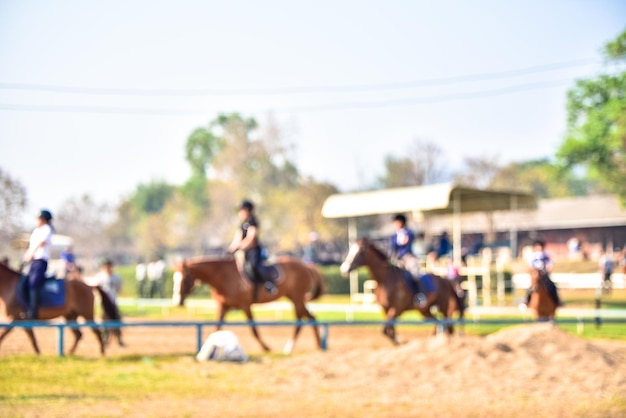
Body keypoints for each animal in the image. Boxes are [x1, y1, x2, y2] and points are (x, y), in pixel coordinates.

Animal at [172, 255, 324, 352]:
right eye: (174, 279)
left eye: (184, 279)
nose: (177, 301)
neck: (223, 276)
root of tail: (307, 265)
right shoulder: (223, 306)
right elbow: (216, 328)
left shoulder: (245, 306)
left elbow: (254, 329)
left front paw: (266, 348)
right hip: (295, 298)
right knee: (310, 317)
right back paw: (317, 344)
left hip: (297, 298)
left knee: (302, 319)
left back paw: (291, 346)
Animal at [336, 237, 464, 344]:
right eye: (350, 250)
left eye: (360, 251)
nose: (344, 270)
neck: (385, 280)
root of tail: (445, 280)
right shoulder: (385, 309)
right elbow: (388, 329)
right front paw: (397, 340)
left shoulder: (396, 309)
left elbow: (386, 329)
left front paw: (398, 341)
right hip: (424, 310)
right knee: (438, 323)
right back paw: (435, 338)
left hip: (443, 306)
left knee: (447, 323)